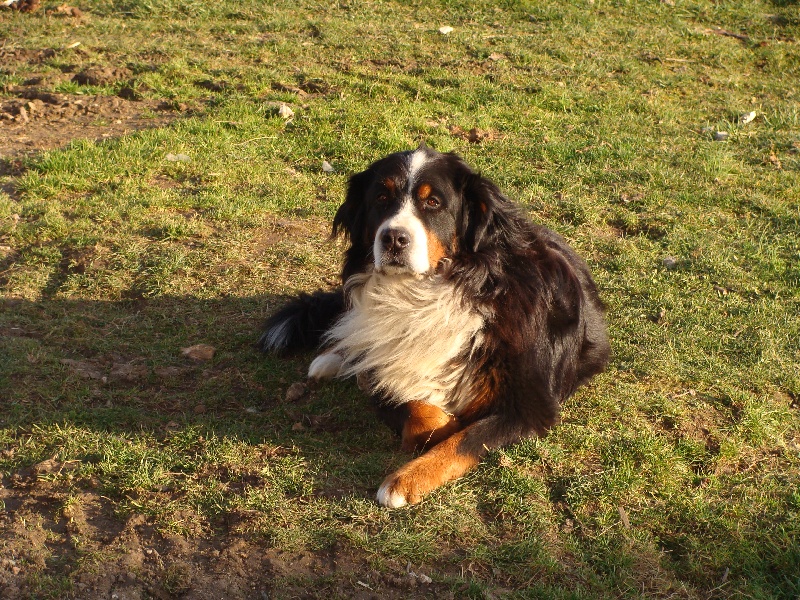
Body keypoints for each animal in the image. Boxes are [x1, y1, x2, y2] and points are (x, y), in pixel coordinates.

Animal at [260, 145, 608, 506]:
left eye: (433, 203)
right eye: (381, 197)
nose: (394, 238)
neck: (427, 293)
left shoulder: (529, 406)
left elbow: (464, 440)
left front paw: (403, 481)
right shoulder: (385, 368)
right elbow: (411, 409)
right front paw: (439, 423)